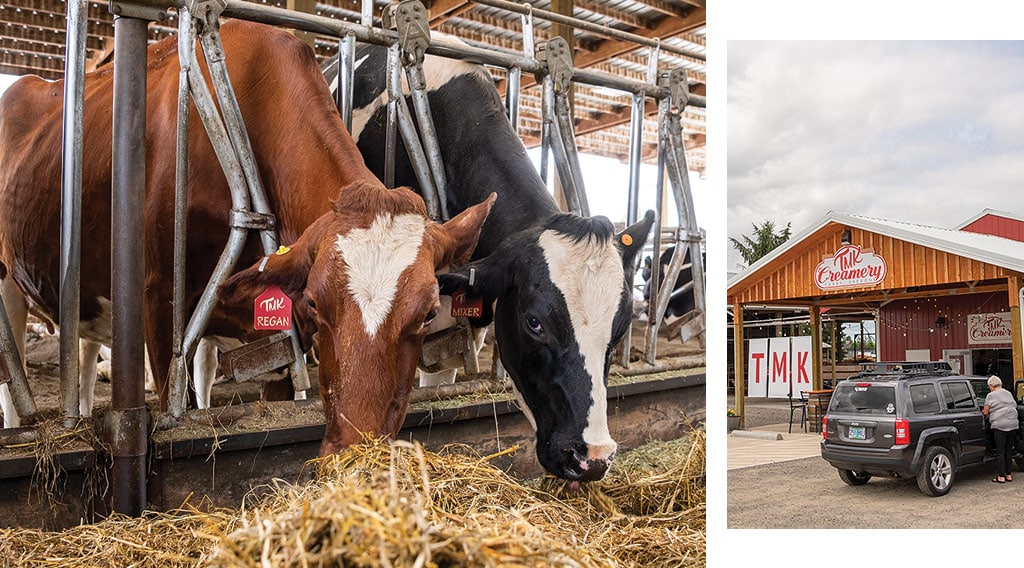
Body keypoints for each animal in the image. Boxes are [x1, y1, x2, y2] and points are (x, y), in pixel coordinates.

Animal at [0, 19, 495, 460]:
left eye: (428, 315)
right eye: (315, 302)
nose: (356, 452)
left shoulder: (276, 336)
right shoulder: (157, 299)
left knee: (82, 352)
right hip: (9, 283)